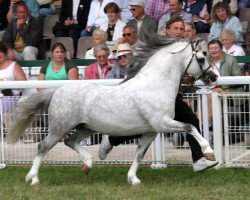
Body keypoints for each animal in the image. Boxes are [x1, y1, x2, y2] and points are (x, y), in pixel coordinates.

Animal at [7, 30, 217, 185]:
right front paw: (209, 153)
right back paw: (33, 178)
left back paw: (88, 163)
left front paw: (133, 179)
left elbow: (140, 154)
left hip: (86, 128)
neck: (155, 85)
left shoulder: (152, 131)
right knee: (43, 146)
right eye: (202, 58)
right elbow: (190, 127)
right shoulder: (163, 123)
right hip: (60, 127)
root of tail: (56, 91)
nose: (214, 77)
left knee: (70, 142)